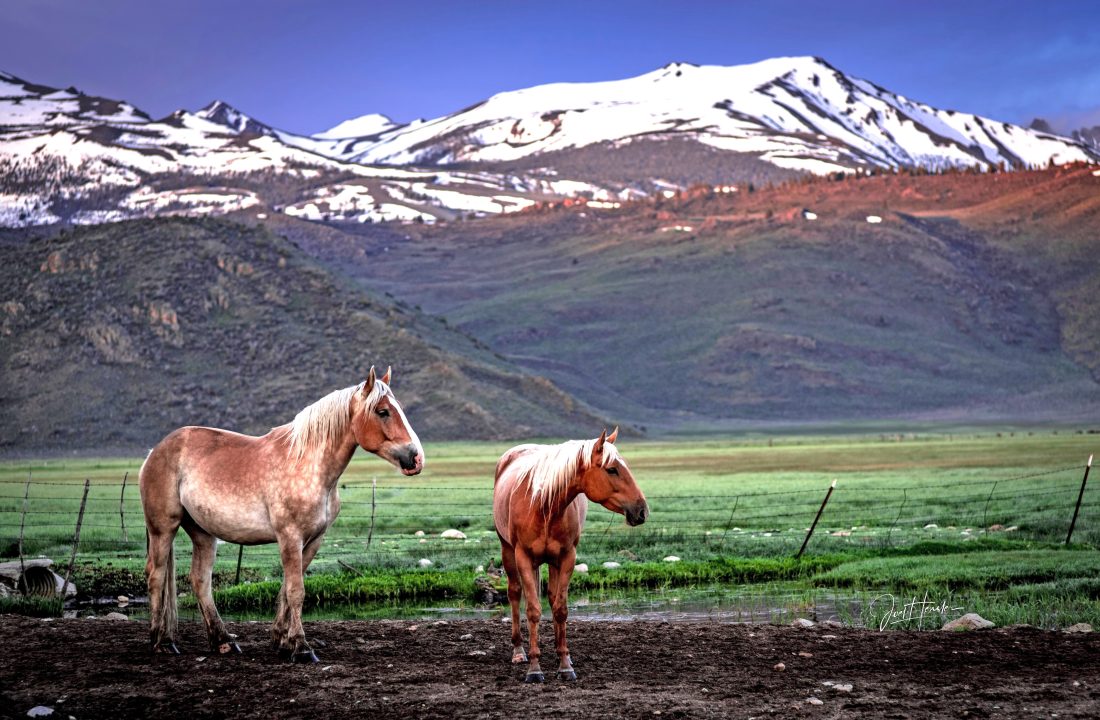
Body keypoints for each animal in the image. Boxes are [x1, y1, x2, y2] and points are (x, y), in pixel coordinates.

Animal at [139, 366, 423, 662]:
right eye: (382, 411)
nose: (416, 458)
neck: (309, 466)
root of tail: (154, 452)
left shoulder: (313, 540)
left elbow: (287, 589)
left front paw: (281, 640)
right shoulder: (290, 537)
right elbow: (296, 590)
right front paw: (301, 646)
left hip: (202, 532)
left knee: (200, 580)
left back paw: (222, 641)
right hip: (163, 528)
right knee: (156, 575)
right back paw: (161, 642)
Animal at [493, 427, 649, 682]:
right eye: (612, 469)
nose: (642, 511)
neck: (543, 506)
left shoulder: (567, 557)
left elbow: (561, 609)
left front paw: (565, 665)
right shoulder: (523, 557)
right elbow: (533, 610)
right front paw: (534, 669)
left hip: (552, 562)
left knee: (552, 598)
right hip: (507, 551)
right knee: (515, 594)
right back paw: (519, 651)